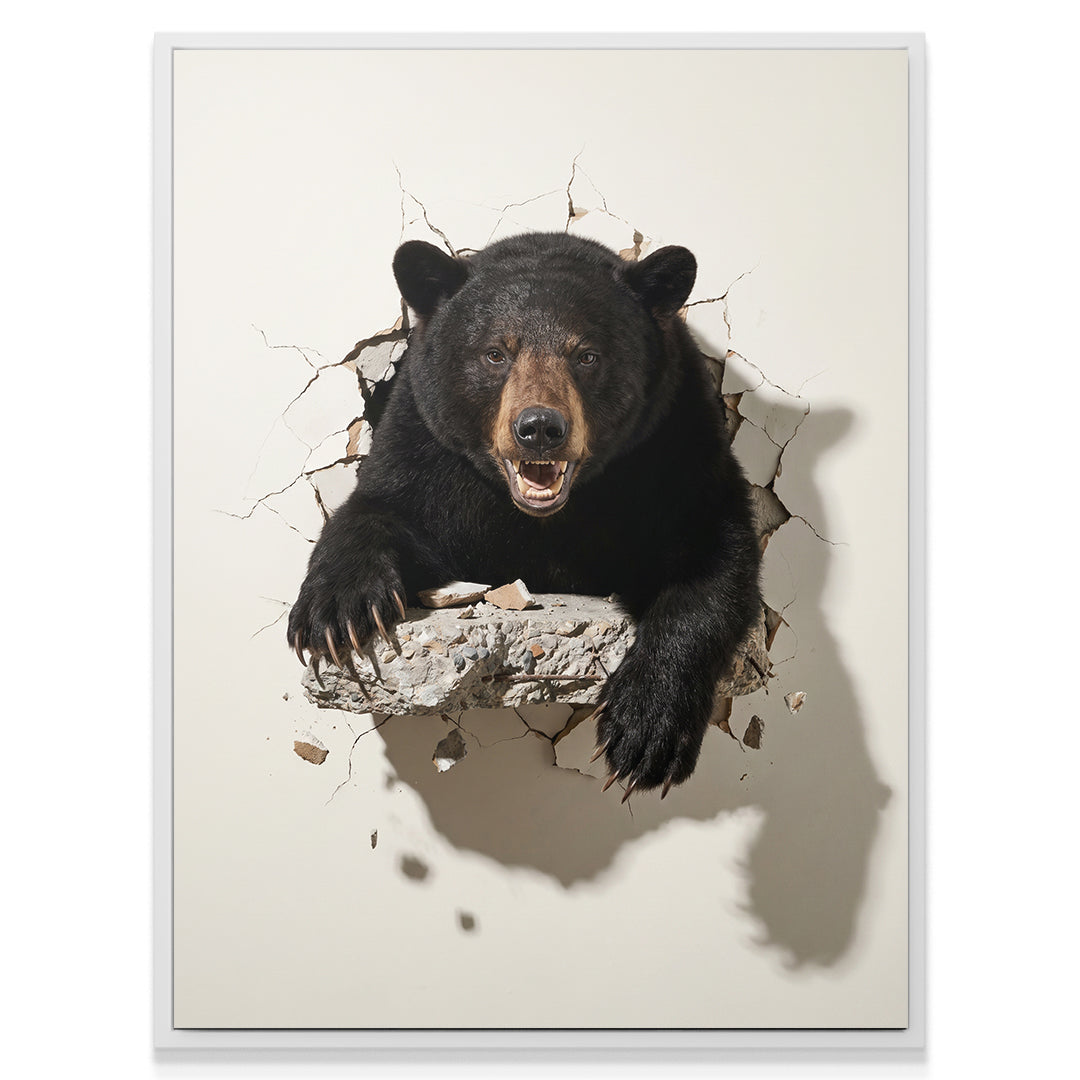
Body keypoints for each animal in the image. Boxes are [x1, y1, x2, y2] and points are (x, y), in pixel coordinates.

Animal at [287, 232, 762, 797]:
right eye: (496, 353)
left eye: (587, 355)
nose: (539, 428)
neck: (546, 518)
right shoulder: (423, 446)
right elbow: (380, 509)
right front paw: (337, 611)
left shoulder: (675, 446)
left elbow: (711, 554)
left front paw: (646, 731)